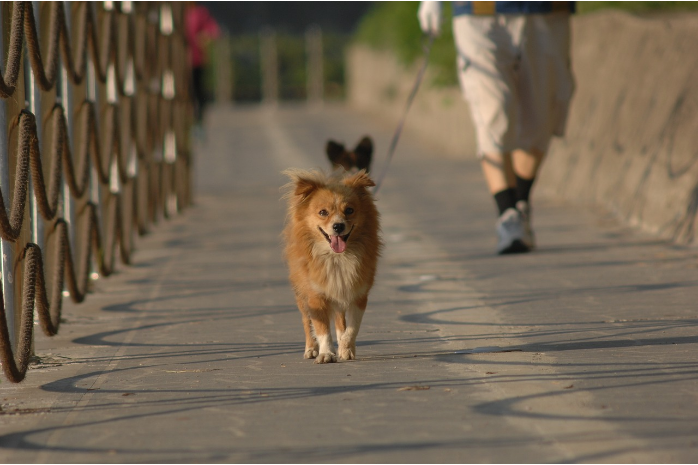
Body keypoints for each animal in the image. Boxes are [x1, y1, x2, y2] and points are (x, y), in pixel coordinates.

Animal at [282, 169, 380, 360]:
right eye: (323, 212)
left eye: (349, 210)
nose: (338, 226)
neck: (336, 258)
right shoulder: (315, 295)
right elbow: (322, 329)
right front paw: (326, 353)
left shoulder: (357, 294)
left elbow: (352, 328)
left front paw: (345, 348)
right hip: (301, 294)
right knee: (307, 322)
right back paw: (311, 349)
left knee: (340, 320)